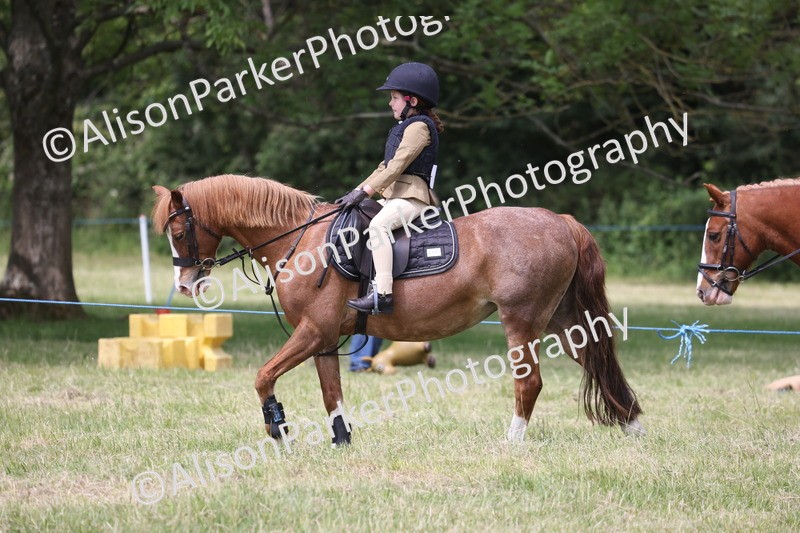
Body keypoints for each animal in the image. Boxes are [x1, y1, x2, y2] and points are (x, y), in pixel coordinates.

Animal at [152, 174, 643, 444]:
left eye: (178, 231)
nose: (185, 284)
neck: (301, 239)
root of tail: (561, 221)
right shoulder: (324, 339)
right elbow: (332, 394)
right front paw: (342, 442)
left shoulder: (312, 331)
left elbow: (262, 377)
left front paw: (278, 428)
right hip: (564, 321)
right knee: (599, 363)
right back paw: (634, 428)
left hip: (522, 321)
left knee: (530, 383)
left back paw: (512, 441)